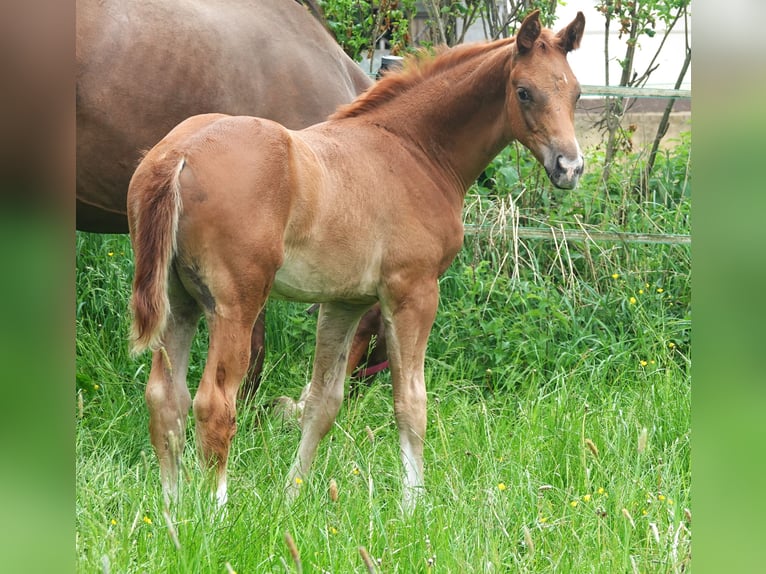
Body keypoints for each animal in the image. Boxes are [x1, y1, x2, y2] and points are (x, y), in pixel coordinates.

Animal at [127, 9, 585, 511]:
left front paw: (292, 496)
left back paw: (172, 510)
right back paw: (216, 512)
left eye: (576, 92)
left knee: (166, 398)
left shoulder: (343, 302)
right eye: (524, 91)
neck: (413, 150)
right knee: (214, 402)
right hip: (235, 305)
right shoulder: (413, 291)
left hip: (179, 300)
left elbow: (323, 403)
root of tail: (179, 154)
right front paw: (412, 505)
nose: (570, 167)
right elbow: (410, 402)